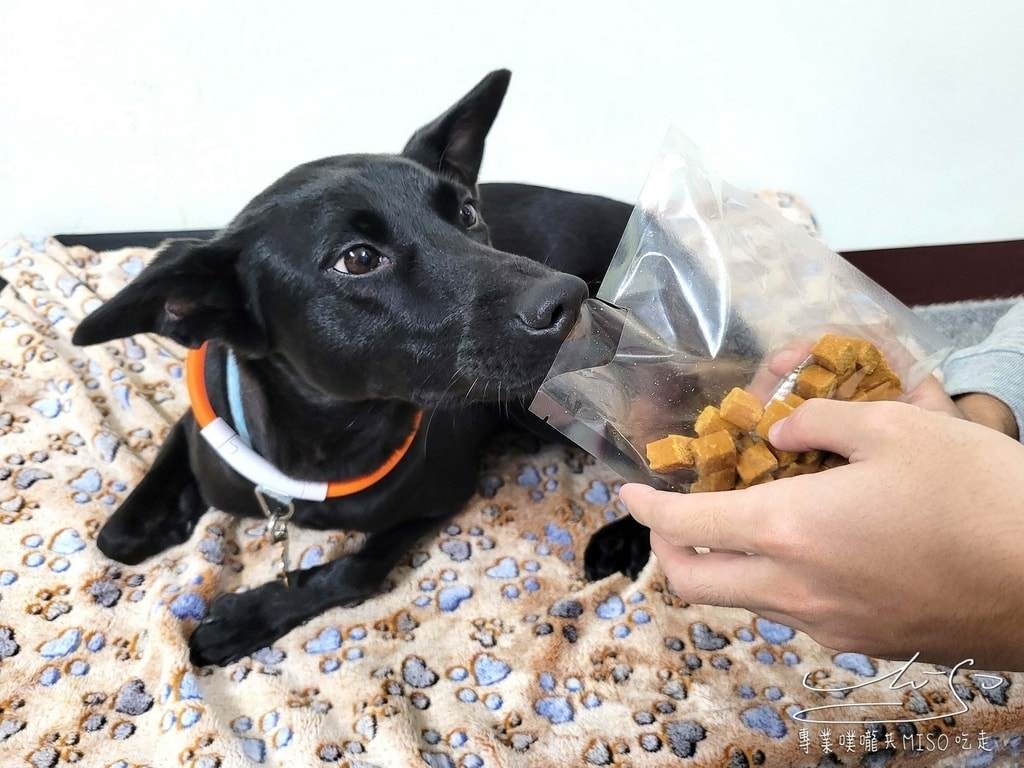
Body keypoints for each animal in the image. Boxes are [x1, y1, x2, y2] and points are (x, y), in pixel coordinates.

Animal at [72, 70, 647, 667]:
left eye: (466, 213)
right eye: (359, 258)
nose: (572, 300)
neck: (322, 441)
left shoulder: (443, 493)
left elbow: (355, 570)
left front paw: (246, 617)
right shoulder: (199, 424)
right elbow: (117, 531)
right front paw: (173, 511)